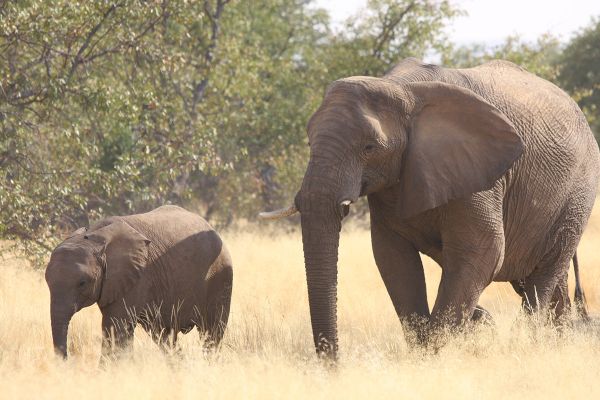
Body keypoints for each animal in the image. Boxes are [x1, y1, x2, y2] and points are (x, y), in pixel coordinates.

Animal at [44, 205, 232, 358]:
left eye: (82, 283)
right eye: (47, 282)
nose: (66, 363)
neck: (94, 237)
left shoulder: (137, 277)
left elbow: (115, 327)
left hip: (220, 276)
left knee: (211, 333)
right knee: (163, 335)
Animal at [262, 58, 600, 356]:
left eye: (369, 147)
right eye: (309, 142)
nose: (333, 365)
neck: (401, 89)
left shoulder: (480, 174)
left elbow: (483, 253)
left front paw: (436, 352)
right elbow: (393, 258)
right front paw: (440, 344)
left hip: (578, 192)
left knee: (544, 274)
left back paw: (527, 341)